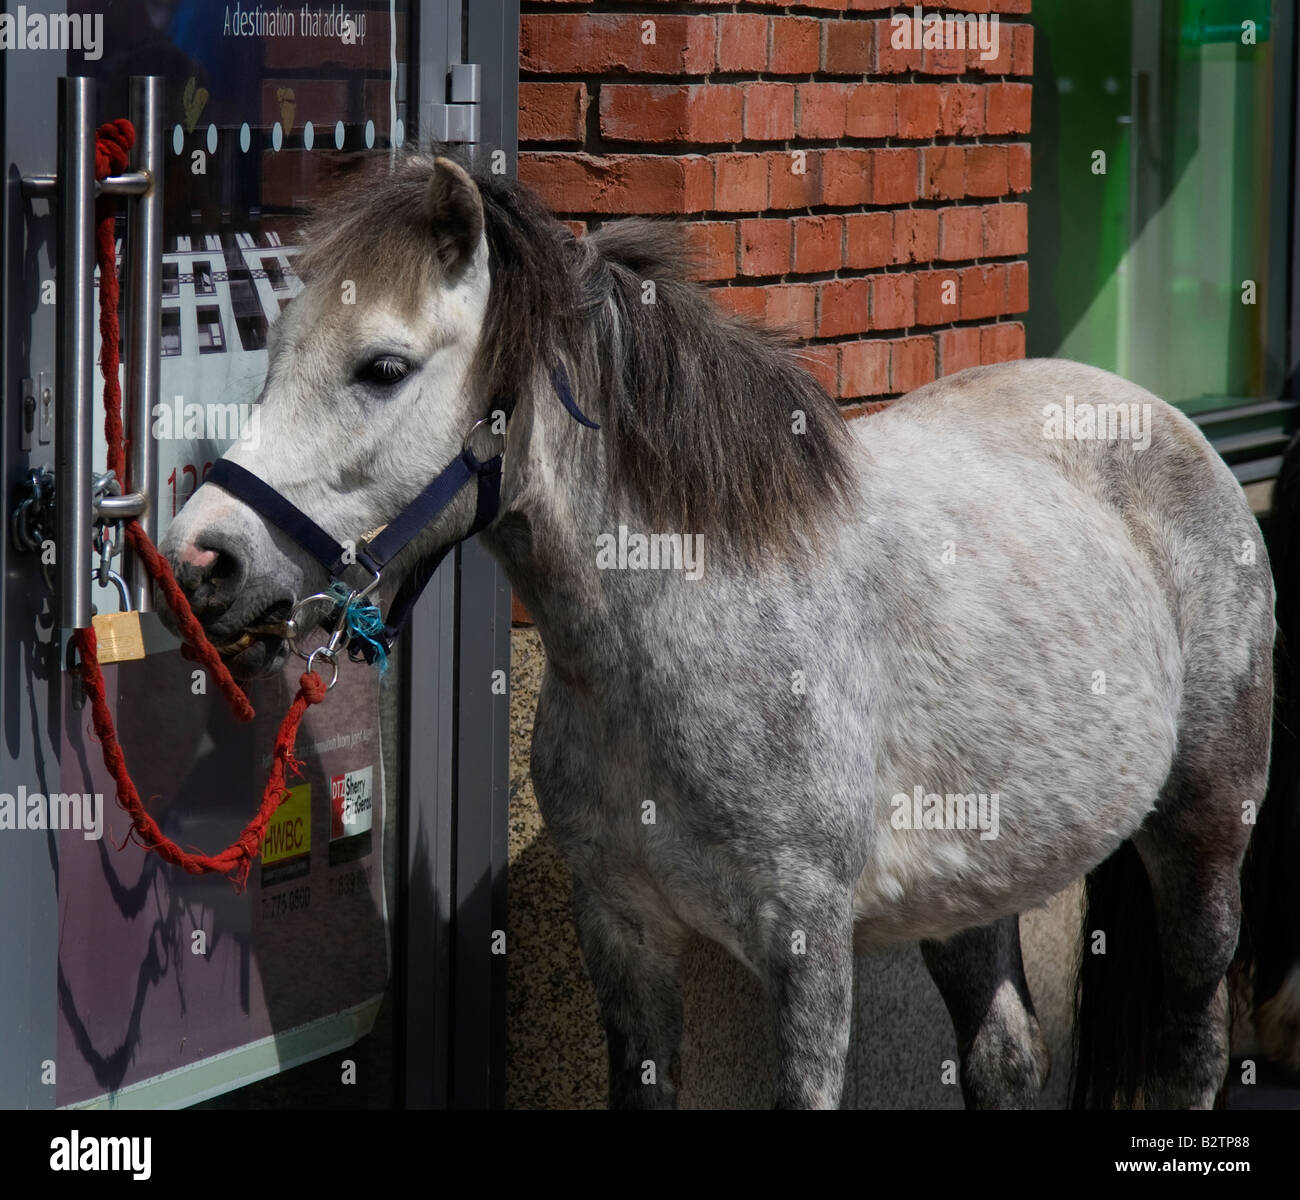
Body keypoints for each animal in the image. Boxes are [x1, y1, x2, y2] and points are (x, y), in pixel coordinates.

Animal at [158, 153, 1275, 1109]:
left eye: (383, 367)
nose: (199, 560)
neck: (676, 636)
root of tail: (1159, 421)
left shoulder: (808, 951)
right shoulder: (623, 933)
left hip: (1203, 836)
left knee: (1193, 1043)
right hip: (975, 878)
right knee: (1004, 1057)